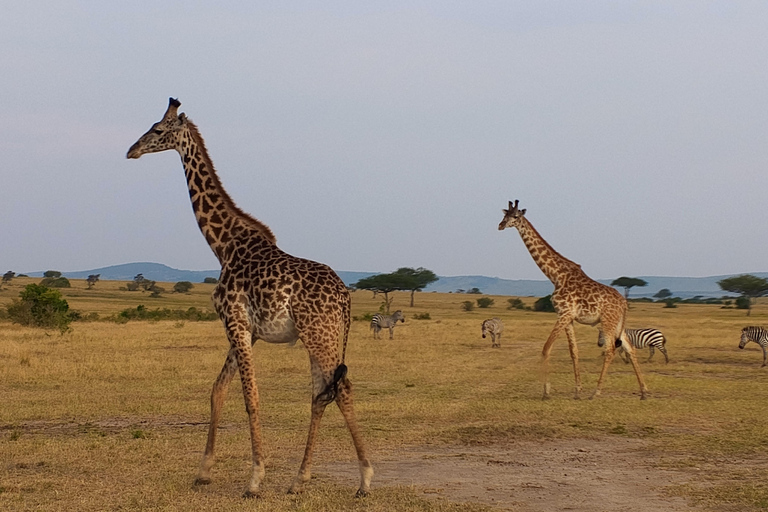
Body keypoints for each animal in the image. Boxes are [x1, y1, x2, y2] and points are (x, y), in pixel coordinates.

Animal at [126, 98, 372, 498]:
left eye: (158, 130)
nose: (131, 150)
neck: (224, 246)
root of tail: (346, 298)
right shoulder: (246, 330)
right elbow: (217, 390)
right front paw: (203, 471)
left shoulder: (236, 323)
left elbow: (250, 398)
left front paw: (255, 478)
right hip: (326, 336)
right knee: (323, 393)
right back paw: (300, 479)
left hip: (318, 335)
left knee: (341, 390)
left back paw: (363, 478)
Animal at [498, 200, 648, 400]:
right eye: (504, 215)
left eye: (515, 216)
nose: (500, 225)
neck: (555, 275)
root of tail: (624, 303)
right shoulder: (568, 318)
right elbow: (573, 352)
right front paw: (577, 391)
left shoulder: (563, 314)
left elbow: (546, 348)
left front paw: (546, 391)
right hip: (617, 324)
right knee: (630, 349)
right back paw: (644, 391)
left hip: (607, 322)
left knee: (610, 350)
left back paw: (596, 392)